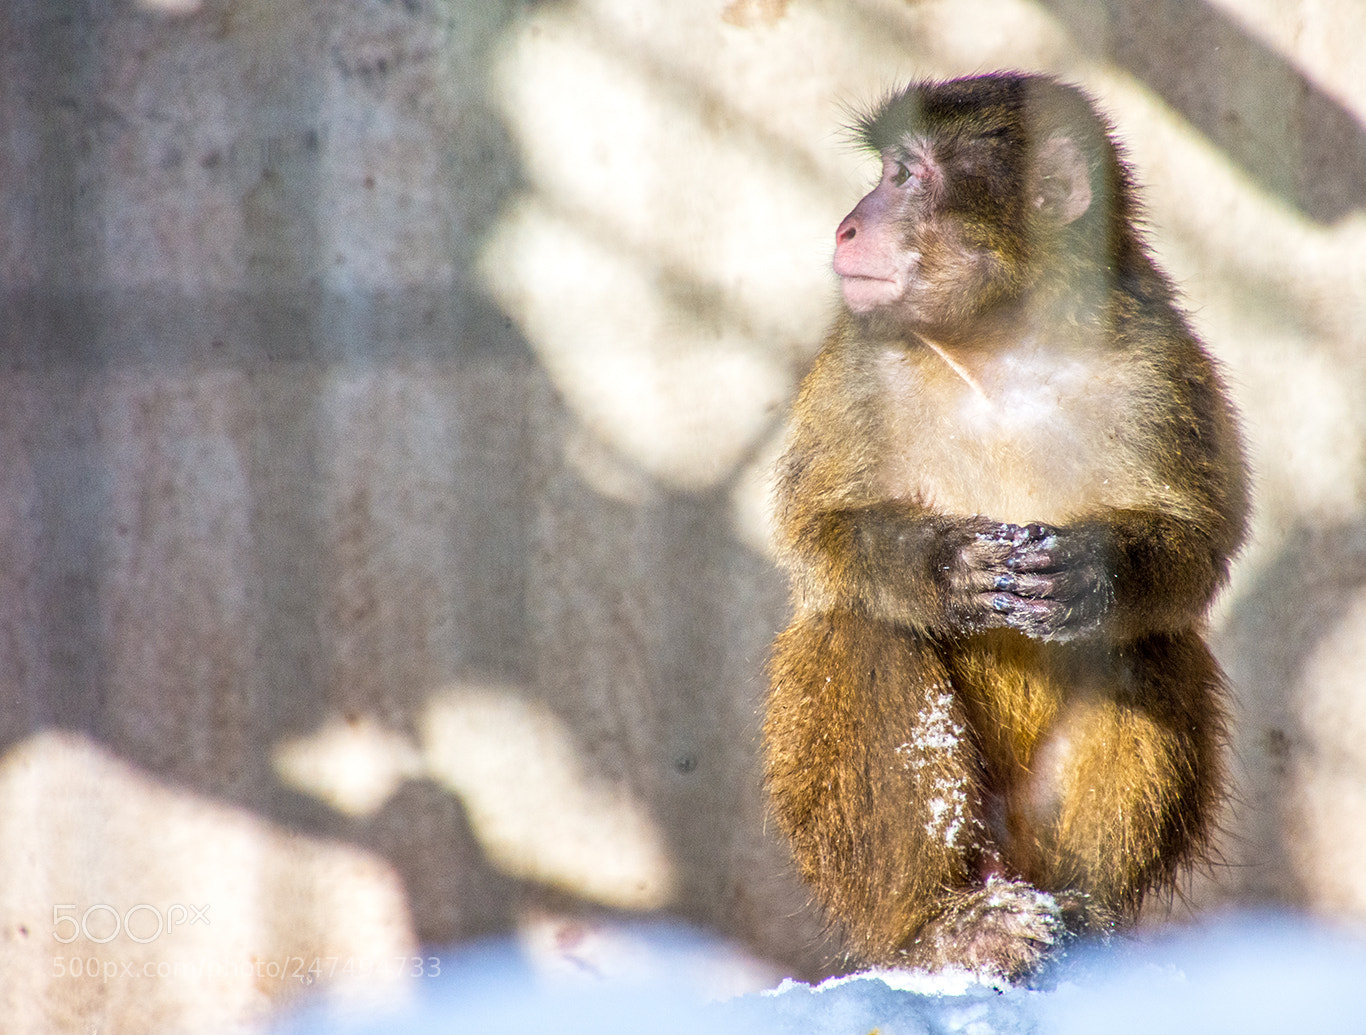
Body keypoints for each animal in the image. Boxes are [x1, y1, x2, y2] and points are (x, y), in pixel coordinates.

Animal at [762, 72, 1249, 981]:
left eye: (908, 175)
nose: (847, 224)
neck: (1000, 343)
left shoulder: (1160, 358)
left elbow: (1198, 542)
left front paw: (1091, 571)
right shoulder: (856, 359)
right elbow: (815, 531)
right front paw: (939, 565)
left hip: (1037, 837)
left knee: (1145, 643)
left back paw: (1086, 920)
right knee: (861, 626)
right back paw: (943, 929)